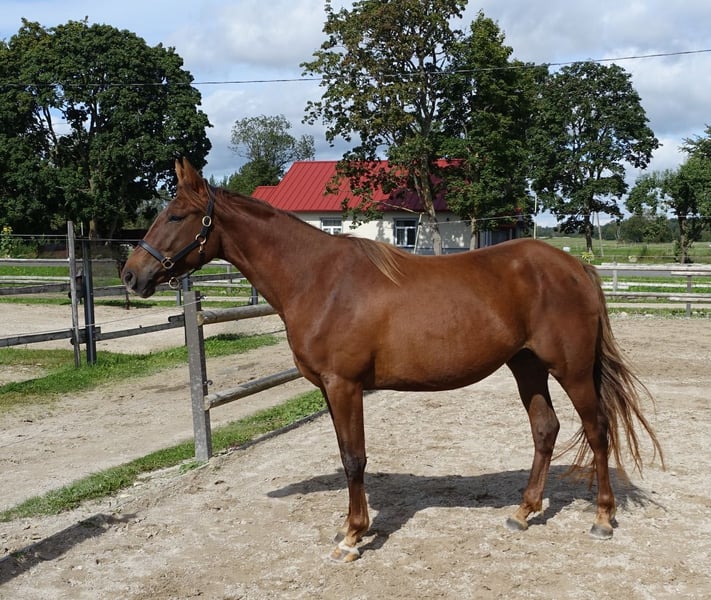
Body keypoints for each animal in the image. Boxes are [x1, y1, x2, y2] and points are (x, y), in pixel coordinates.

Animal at [121, 158, 663, 562]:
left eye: (175, 216)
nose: (131, 274)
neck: (318, 279)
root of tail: (576, 267)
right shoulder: (332, 388)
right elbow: (348, 455)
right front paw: (353, 529)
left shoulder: (343, 385)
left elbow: (353, 458)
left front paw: (352, 536)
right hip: (526, 366)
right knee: (545, 430)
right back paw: (524, 512)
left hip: (571, 371)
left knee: (597, 430)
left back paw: (602, 518)